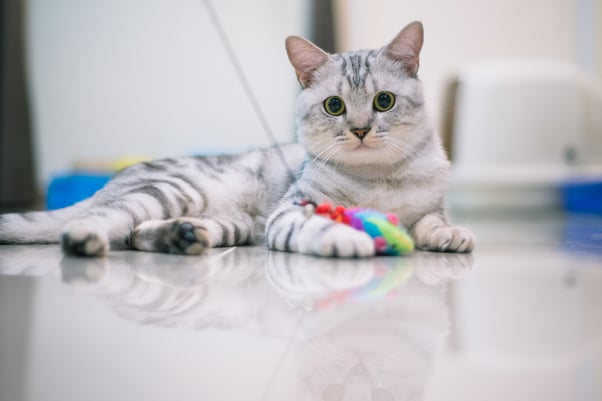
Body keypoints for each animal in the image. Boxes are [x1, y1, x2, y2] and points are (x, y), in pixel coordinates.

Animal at [0, 21, 474, 258]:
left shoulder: (430, 206)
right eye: (334, 106)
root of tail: (108, 184)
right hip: (169, 191)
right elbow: (317, 224)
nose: (359, 129)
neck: (379, 179)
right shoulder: (291, 211)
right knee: (107, 221)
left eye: (384, 100)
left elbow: (432, 221)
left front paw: (450, 234)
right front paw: (347, 237)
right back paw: (86, 237)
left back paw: (181, 237)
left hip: (231, 225)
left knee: (135, 234)